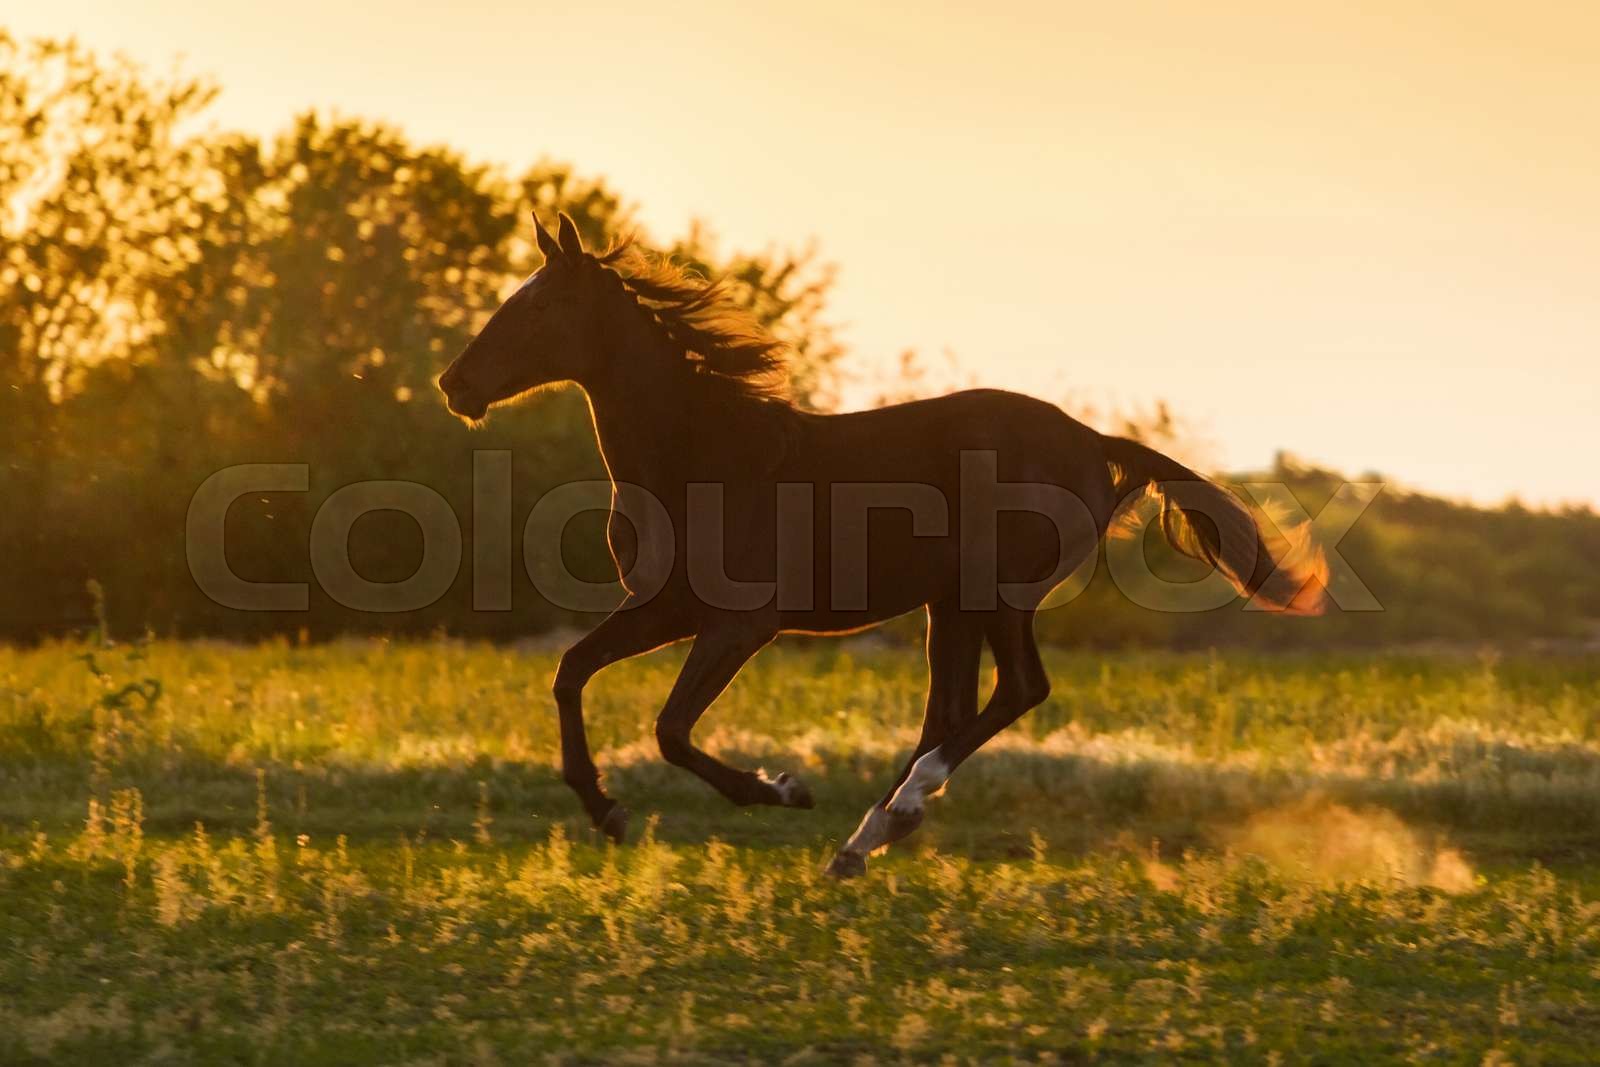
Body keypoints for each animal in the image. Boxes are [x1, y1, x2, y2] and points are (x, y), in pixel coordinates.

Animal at [437, 213, 1327, 877]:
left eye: (537, 308)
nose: (456, 385)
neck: (707, 455)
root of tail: (1094, 442)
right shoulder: (663, 608)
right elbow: (571, 671)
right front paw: (607, 810)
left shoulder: (740, 622)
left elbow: (670, 729)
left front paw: (782, 789)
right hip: (949, 605)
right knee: (954, 708)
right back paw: (866, 840)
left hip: (995, 591)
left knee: (1018, 690)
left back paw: (891, 812)